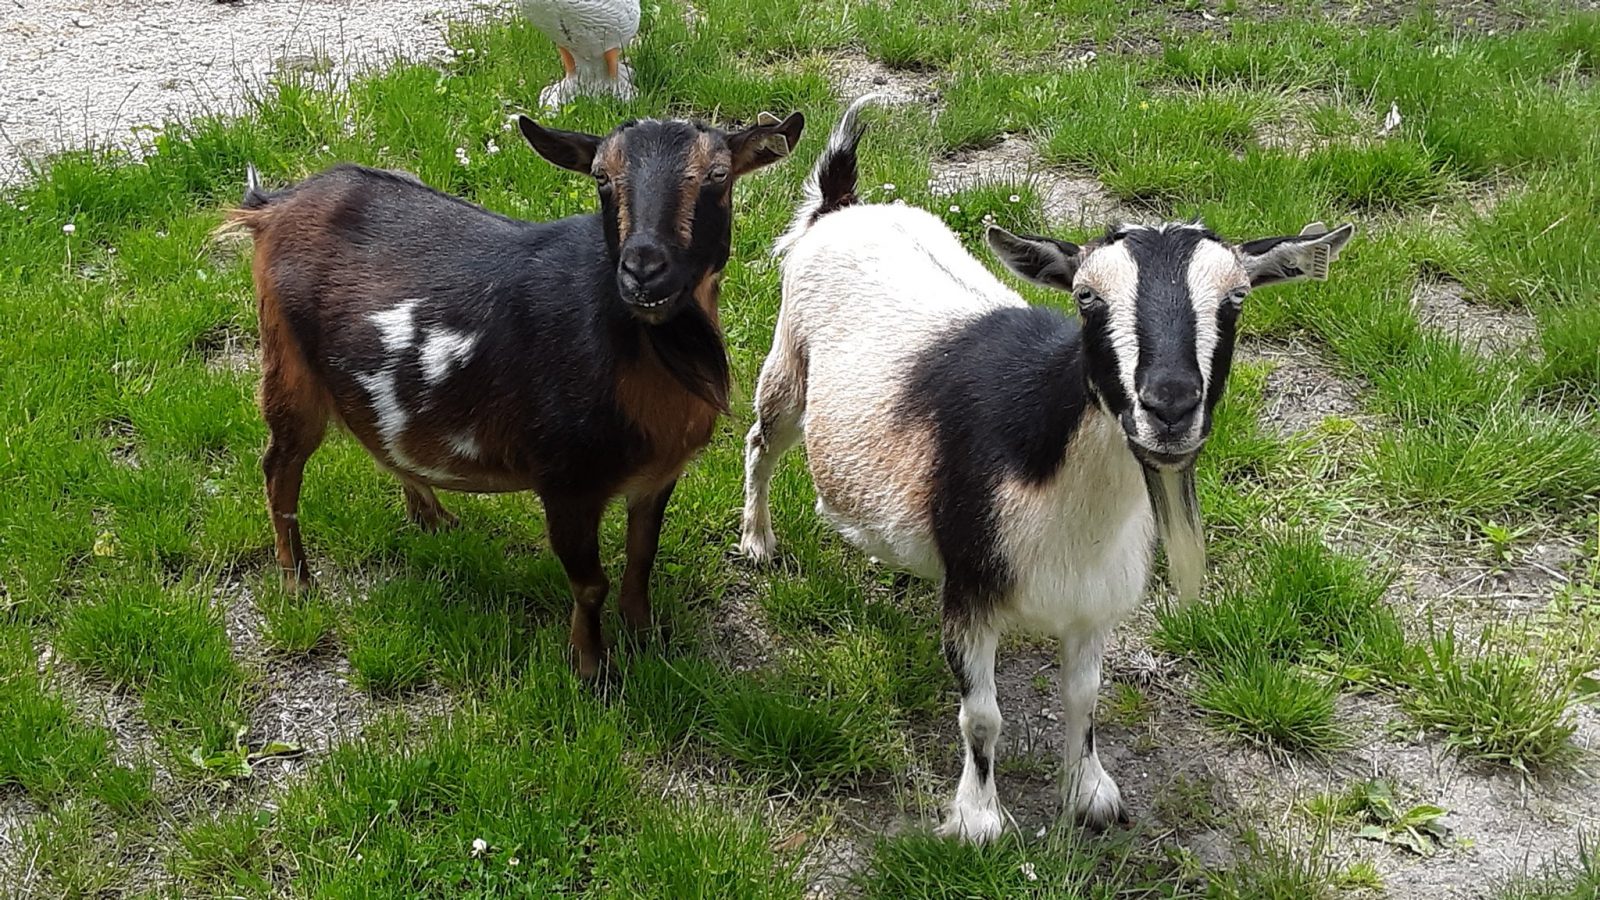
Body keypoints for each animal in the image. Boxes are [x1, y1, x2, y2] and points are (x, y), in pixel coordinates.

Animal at [225, 110, 800, 672]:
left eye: (718, 175)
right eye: (601, 177)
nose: (643, 270)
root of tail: (271, 208)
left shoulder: (658, 477)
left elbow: (641, 559)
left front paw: (646, 637)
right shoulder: (564, 482)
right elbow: (590, 584)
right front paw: (593, 670)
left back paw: (435, 519)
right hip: (288, 365)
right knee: (280, 467)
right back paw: (298, 582)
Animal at [739, 98, 1350, 839]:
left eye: (1236, 299)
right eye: (1087, 298)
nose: (1170, 405)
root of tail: (840, 206)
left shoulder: (1093, 603)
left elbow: (1085, 698)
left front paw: (1090, 796)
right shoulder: (972, 586)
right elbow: (982, 715)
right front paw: (978, 820)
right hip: (788, 366)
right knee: (760, 443)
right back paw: (757, 542)